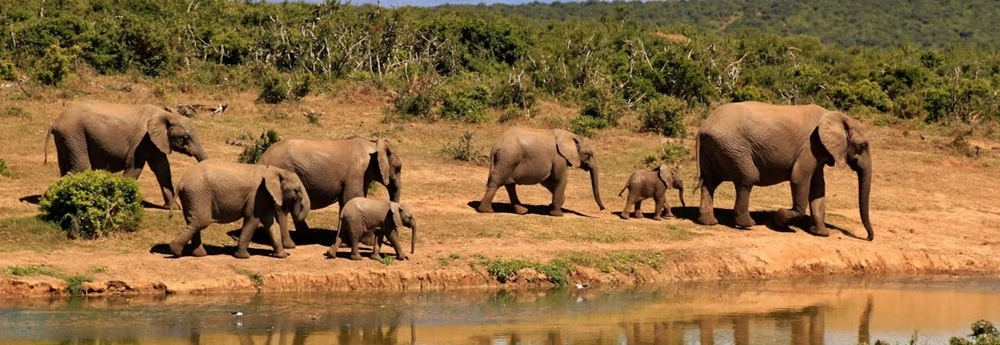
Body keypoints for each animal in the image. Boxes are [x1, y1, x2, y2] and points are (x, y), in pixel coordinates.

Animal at [46, 98, 208, 208]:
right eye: (185, 137)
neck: (166, 115)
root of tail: (55, 122)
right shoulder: (142, 140)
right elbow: (135, 168)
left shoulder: (155, 142)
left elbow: (162, 169)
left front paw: (172, 208)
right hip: (74, 135)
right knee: (80, 168)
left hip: (66, 139)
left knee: (67, 168)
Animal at [168, 160, 310, 256]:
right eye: (296, 190)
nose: (291, 251)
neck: (275, 170)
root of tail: (181, 182)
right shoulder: (256, 194)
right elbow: (252, 219)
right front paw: (244, 257)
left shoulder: (263, 196)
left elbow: (270, 222)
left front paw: (281, 256)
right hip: (198, 194)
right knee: (200, 222)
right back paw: (175, 250)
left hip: (192, 196)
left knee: (193, 222)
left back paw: (199, 254)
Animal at [258, 136, 402, 249]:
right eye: (398, 168)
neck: (373, 144)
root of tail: (262, 158)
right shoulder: (357, 174)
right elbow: (353, 198)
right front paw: (368, 242)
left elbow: (346, 202)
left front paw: (345, 243)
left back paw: (308, 237)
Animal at [474, 126, 604, 216]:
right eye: (588, 154)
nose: (602, 209)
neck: (571, 135)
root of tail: (495, 145)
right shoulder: (559, 158)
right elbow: (560, 179)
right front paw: (558, 214)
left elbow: (547, 181)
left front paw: (554, 204)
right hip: (508, 158)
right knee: (497, 181)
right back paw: (486, 210)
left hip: (508, 160)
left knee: (509, 184)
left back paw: (522, 211)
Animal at [696, 100, 876, 239]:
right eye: (862, 146)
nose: (868, 237)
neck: (835, 116)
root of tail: (704, 126)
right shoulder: (810, 147)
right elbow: (799, 179)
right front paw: (778, 219)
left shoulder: (818, 152)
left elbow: (818, 188)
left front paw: (820, 234)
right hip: (734, 148)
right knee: (747, 179)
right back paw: (748, 224)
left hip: (716, 147)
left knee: (710, 182)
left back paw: (709, 222)